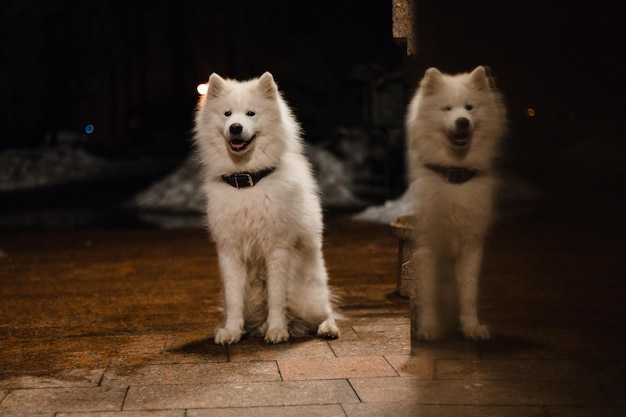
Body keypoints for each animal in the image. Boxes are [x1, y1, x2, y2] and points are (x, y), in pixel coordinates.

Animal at [408, 64, 504, 338]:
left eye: (469, 107)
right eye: (447, 109)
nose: (462, 121)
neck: (454, 177)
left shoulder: (472, 244)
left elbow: (469, 293)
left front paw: (472, 327)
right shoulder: (428, 245)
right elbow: (428, 292)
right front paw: (429, 327)